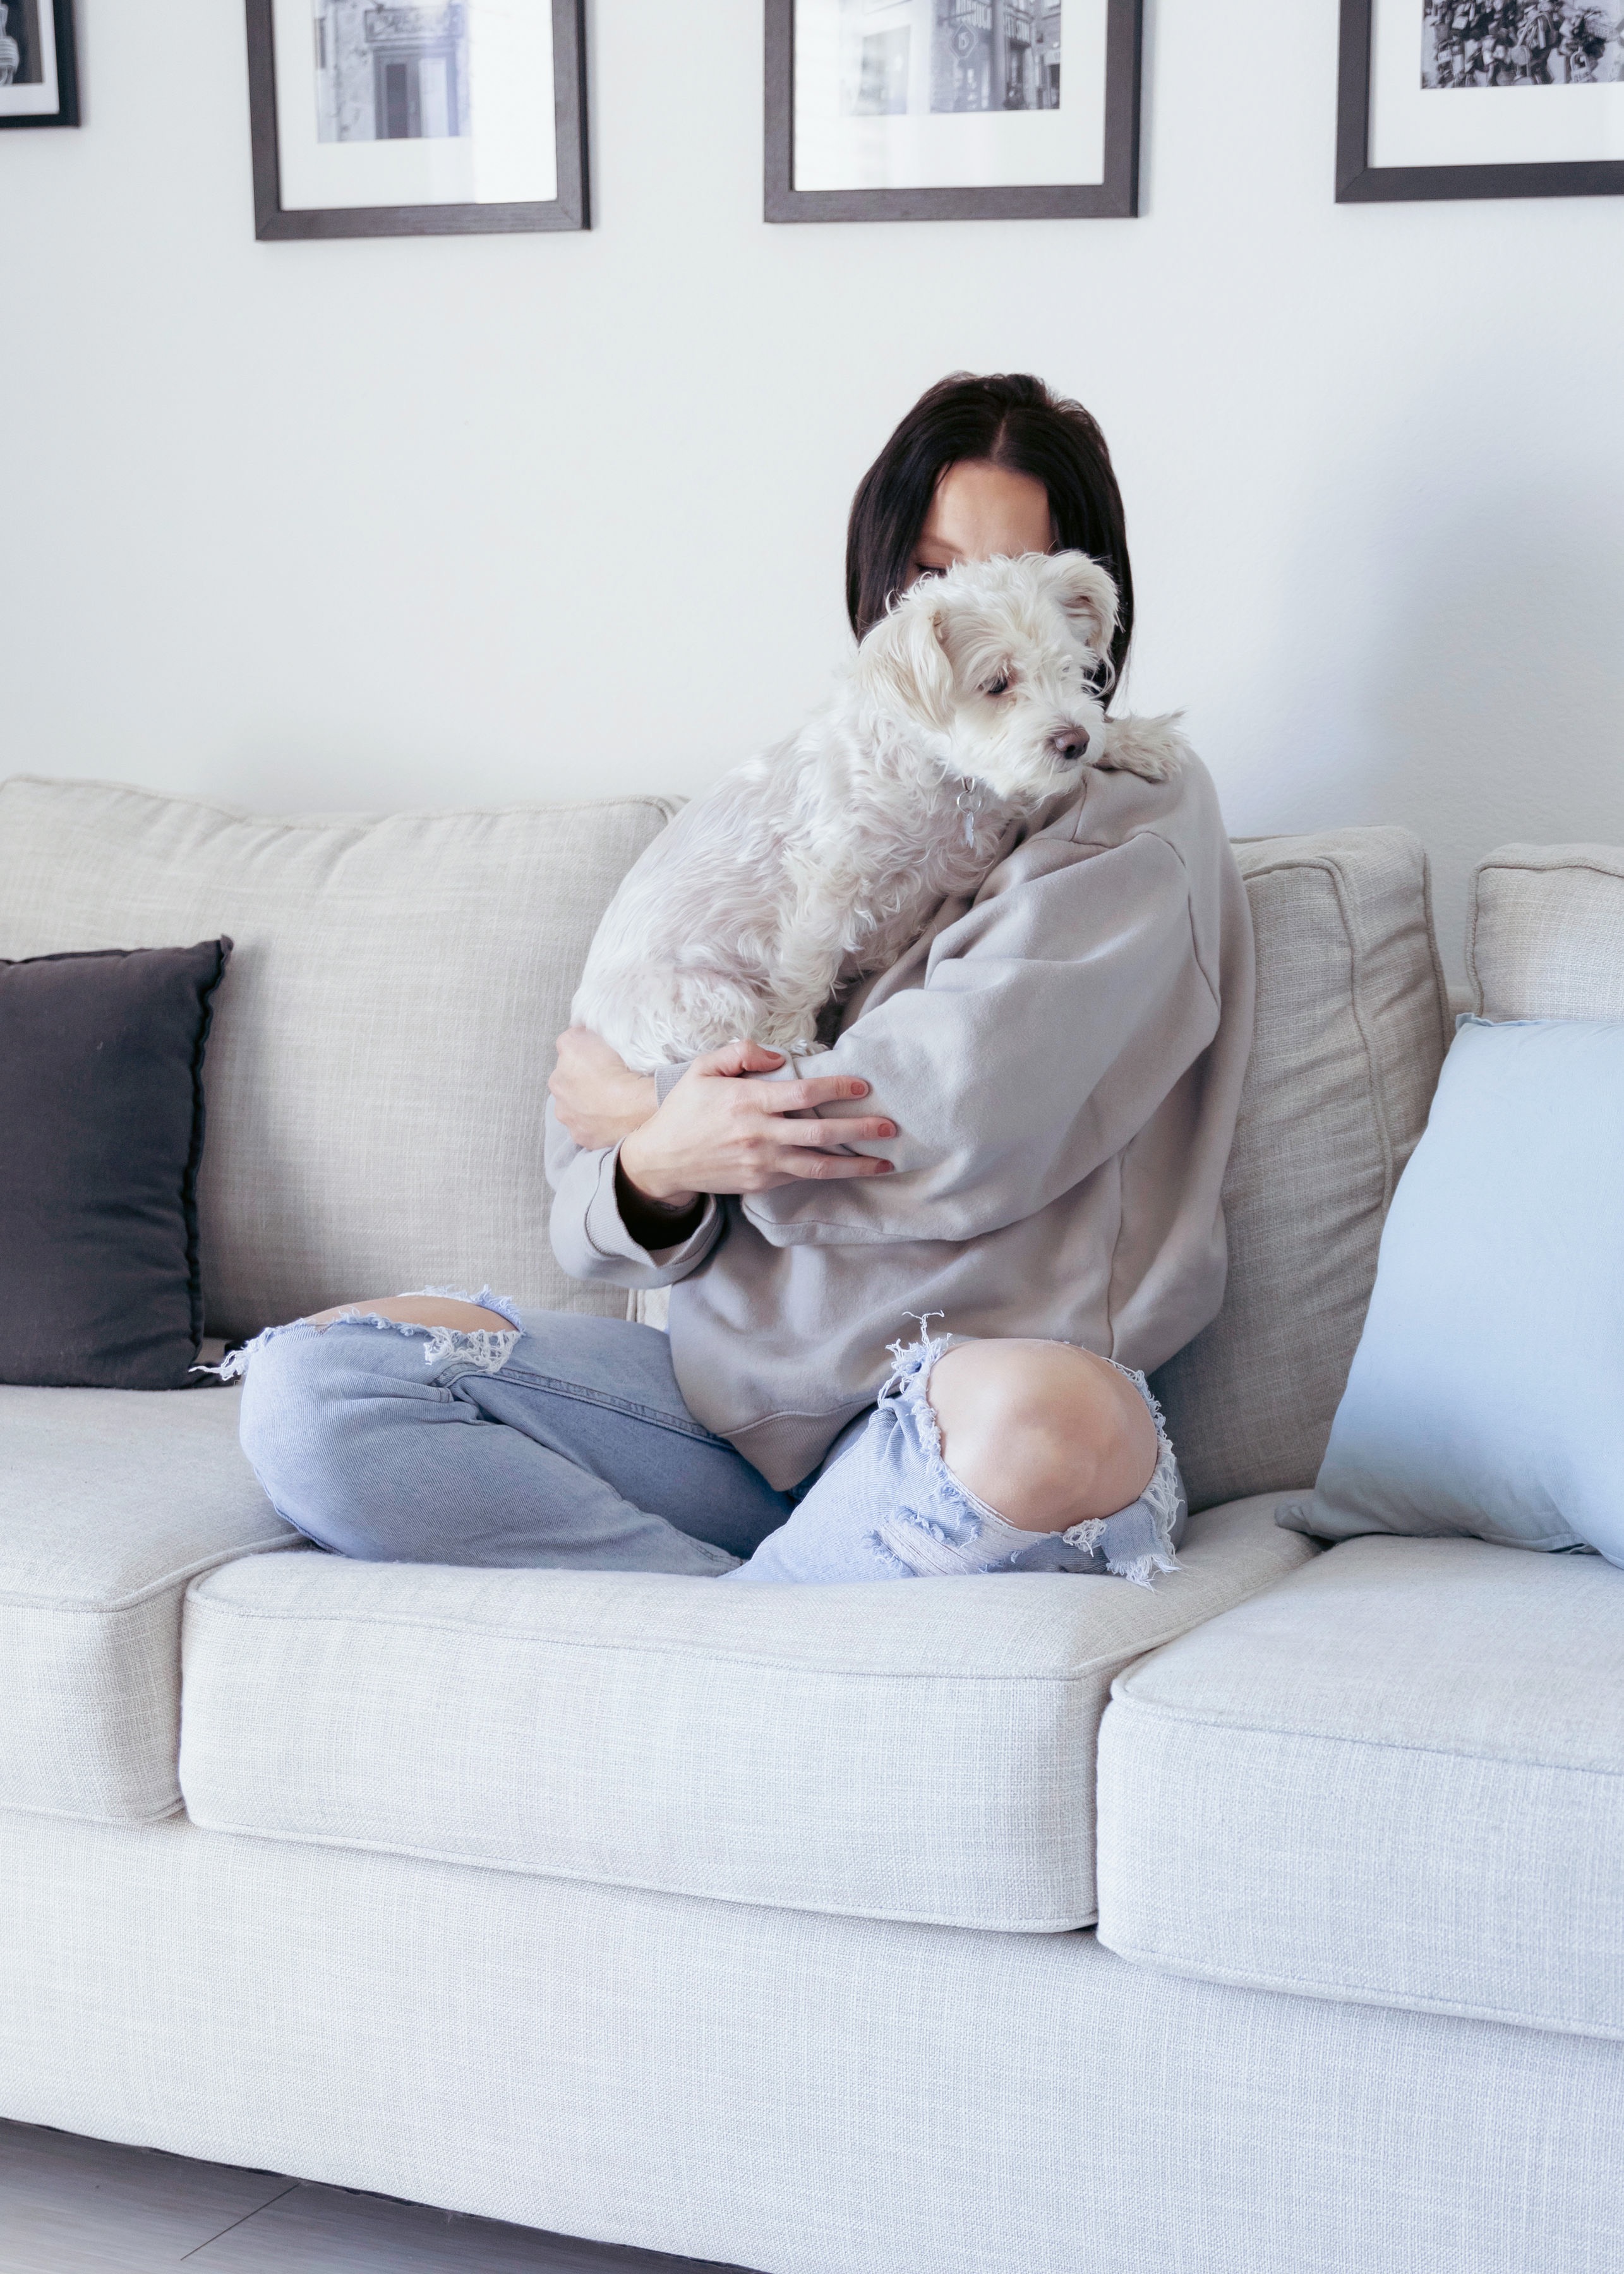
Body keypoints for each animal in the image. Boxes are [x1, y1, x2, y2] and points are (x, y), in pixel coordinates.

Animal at [572, 551, 1188, 1073]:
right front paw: (791, 1038)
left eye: (1068, 669)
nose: (1073, 742)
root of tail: (587, 1014)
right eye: (995, 683)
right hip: (709, 999)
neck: (943, 777)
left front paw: (1136, 741)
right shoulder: (829, 878)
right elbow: (808, 966)